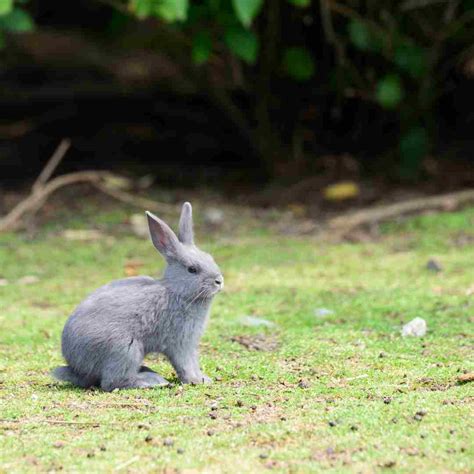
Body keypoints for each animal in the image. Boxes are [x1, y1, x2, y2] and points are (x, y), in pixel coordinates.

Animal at [52, 202, 223, 390]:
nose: (219, 281)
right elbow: (185, 363)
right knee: (112, 382)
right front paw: (196, 380)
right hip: (125, 349)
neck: (176, 291)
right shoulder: (180, 342)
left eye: (210, 257)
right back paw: (152, 381)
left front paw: (203, 378)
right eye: (192, 269)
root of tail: (76, 368)